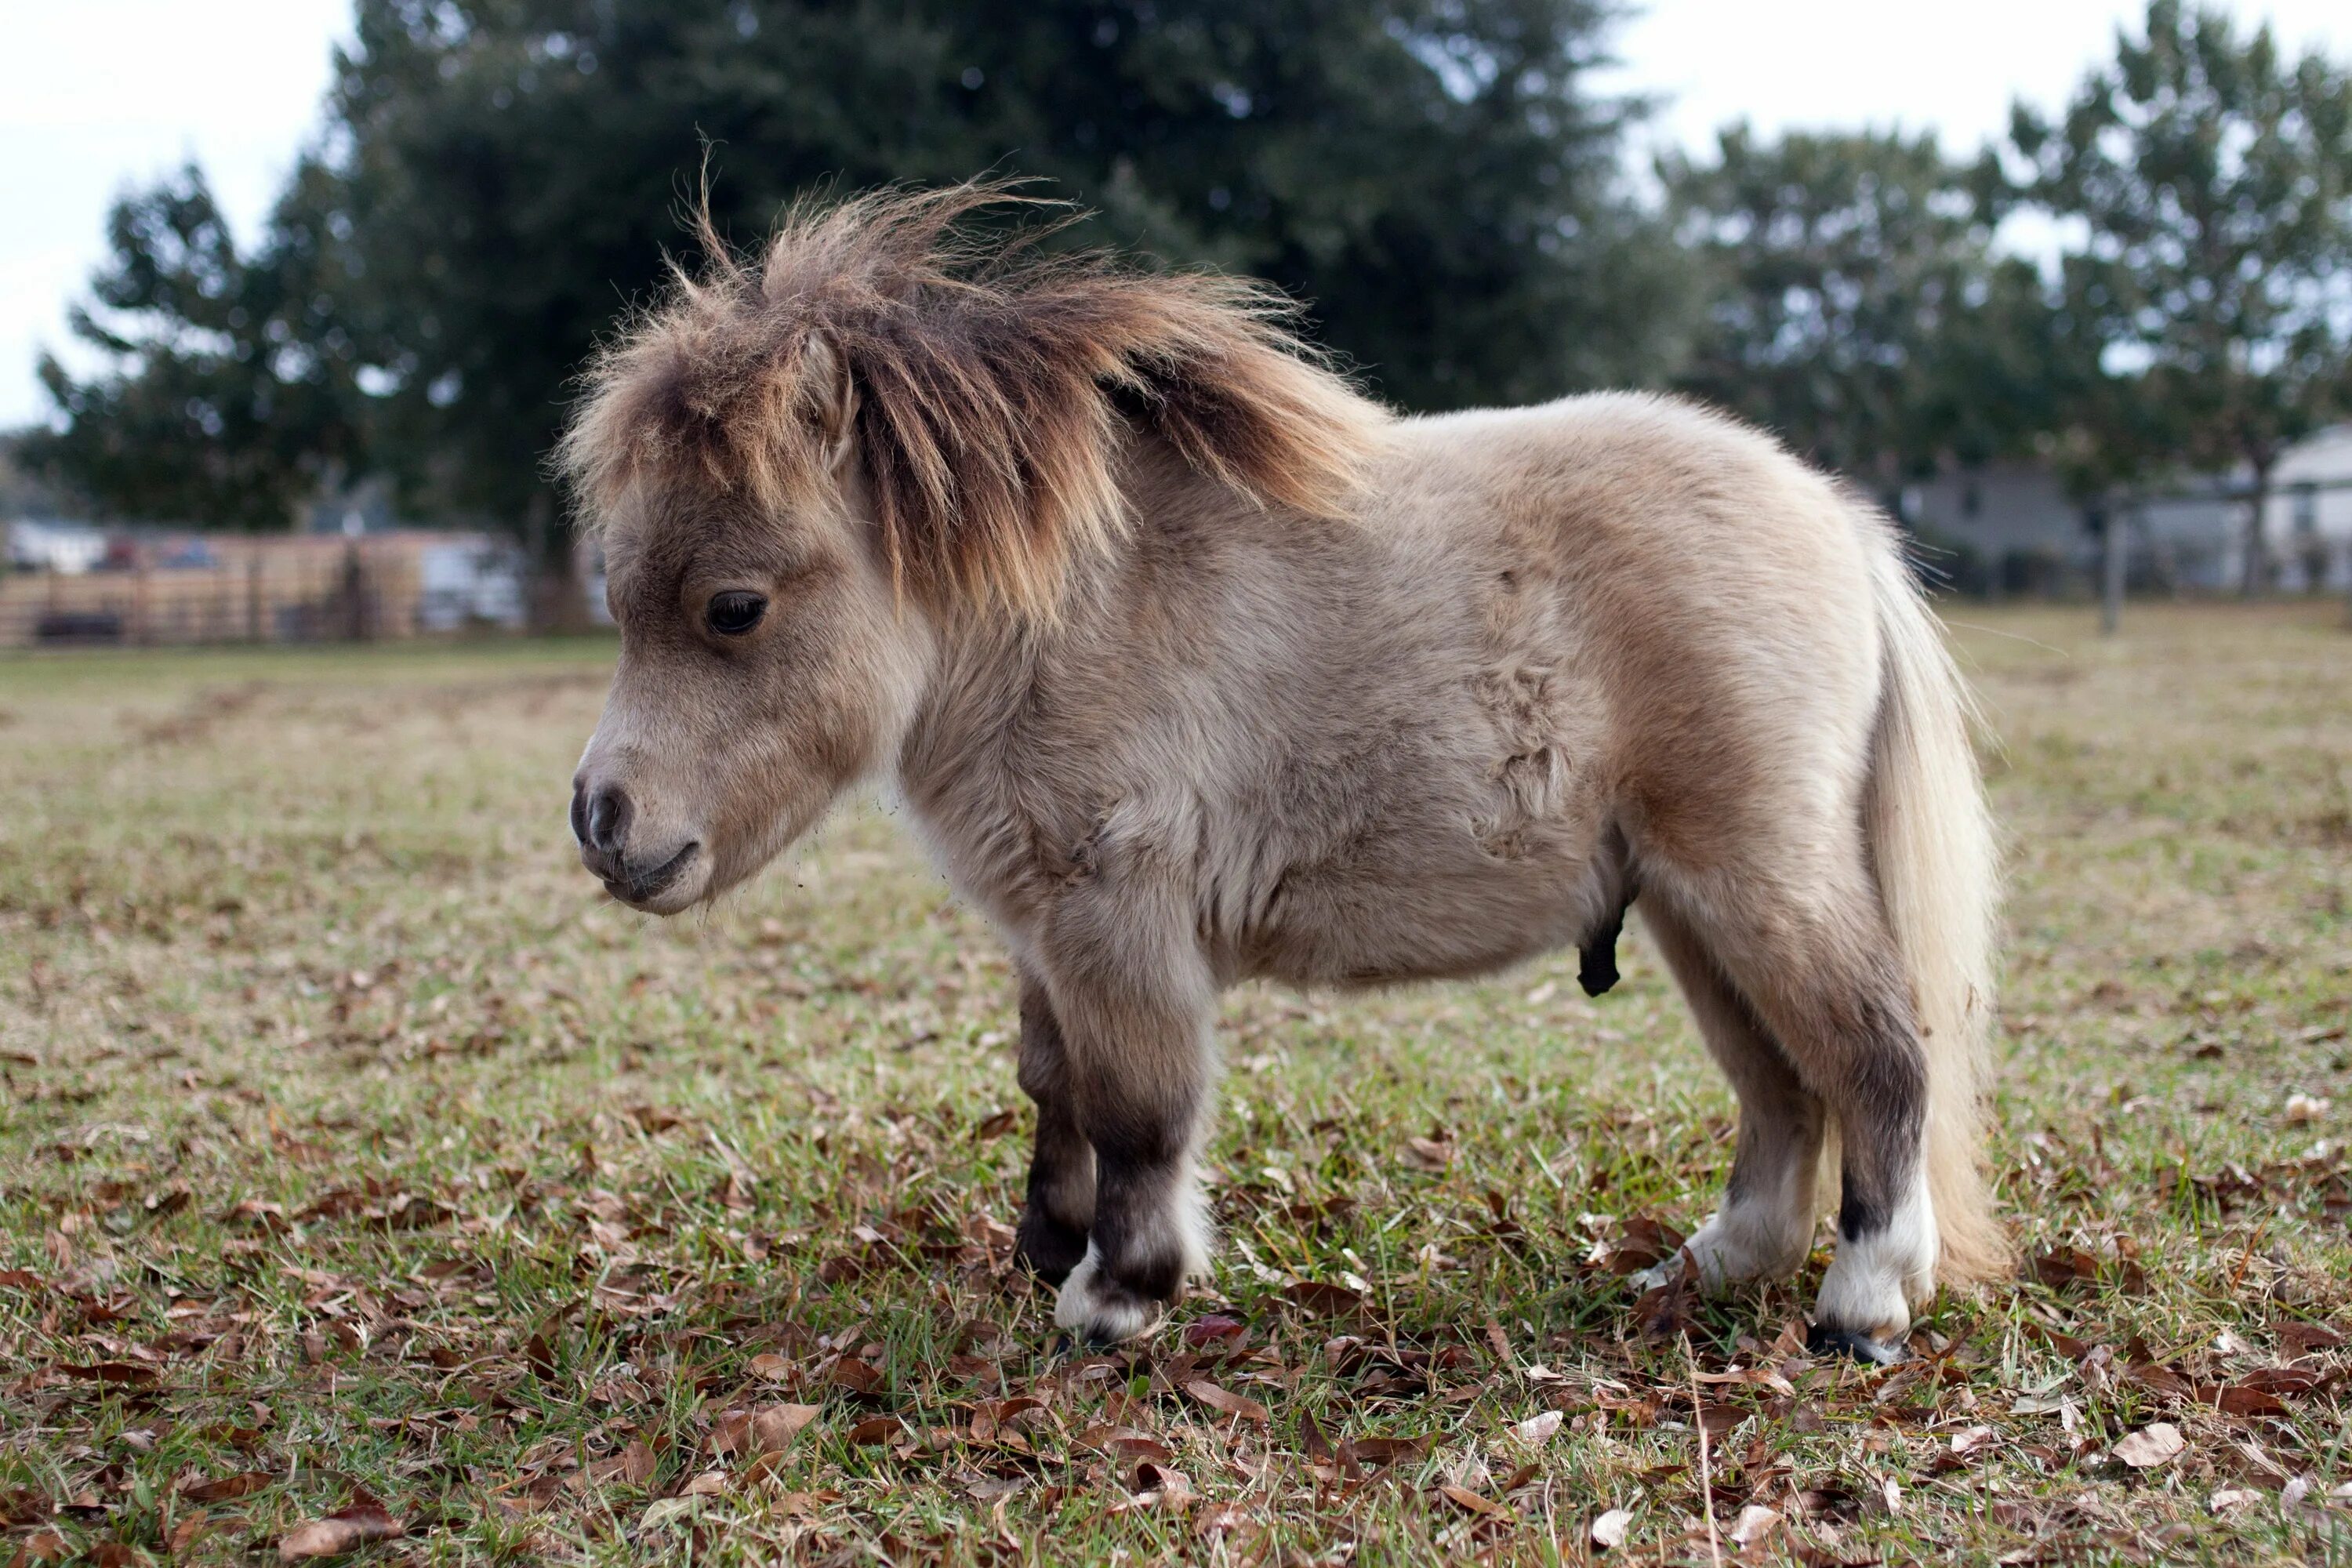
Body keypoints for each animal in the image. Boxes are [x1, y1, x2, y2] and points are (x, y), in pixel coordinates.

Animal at [560, 184, 2013, 1363]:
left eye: (734, 608)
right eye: (617, 595)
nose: (602, 823)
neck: (1066, 619)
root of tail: (1835, 515)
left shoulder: (1118, 918)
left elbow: (1138, 1109)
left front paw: (1115, 1297)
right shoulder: (1044, 929)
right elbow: (1054, 1083)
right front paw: (1046, 1251)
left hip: (1757, 876)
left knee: (1878, 1057)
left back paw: (1863, 1305)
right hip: (1688, 905)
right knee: (1785, 1092)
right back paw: (1705, 1274)